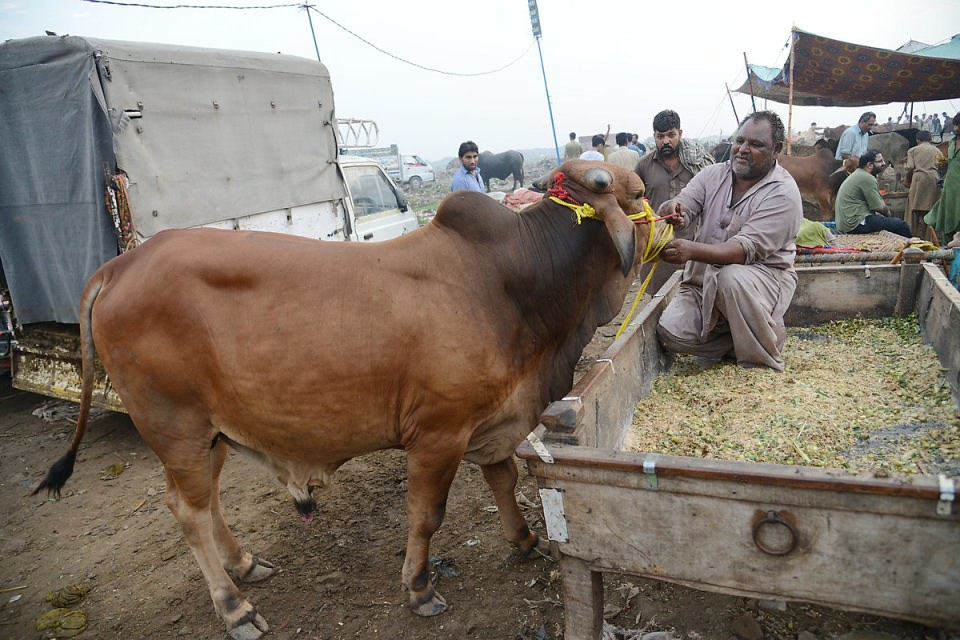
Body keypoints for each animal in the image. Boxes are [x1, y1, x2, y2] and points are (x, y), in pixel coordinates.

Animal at [33, 160, 656, 640]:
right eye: (640, 194)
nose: (673, 213)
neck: (515, 281)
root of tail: (118, 265)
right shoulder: (437, 436)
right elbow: (426, 515)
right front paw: (418, 588)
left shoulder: (494, 419)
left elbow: (501, 479)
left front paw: (524, 540)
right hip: (174, 424)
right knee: (187, 512)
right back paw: (235, 608)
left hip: (211, 432)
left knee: (204, 500)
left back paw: (244, 564)